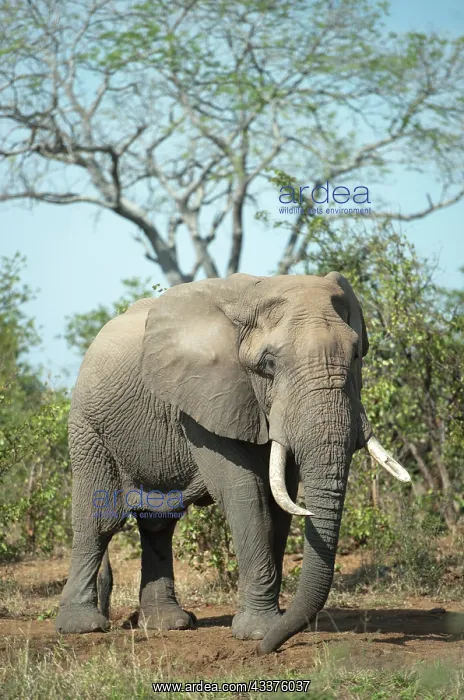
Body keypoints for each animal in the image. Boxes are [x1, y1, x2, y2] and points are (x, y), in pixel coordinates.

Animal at [55, 272, 410, 654]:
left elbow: (280, 499)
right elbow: (246, 494)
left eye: (357, 354)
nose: (269, 648)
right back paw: (82, 626)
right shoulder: (206, 396)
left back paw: (169, 624)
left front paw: (270, 626)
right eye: (269, 364)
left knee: (159, 523)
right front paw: (257, 632)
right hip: (89, 426)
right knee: (100, 520)